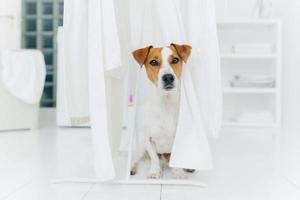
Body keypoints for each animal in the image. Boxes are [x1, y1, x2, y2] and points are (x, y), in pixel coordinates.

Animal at [130, 43, 193, 178]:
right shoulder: (148, 138)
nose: (168, 77)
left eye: (175, 60)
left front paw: (178, 173)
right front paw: (154, 172)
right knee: (136, 157)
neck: (166, 103)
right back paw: (132, 167)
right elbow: (154, 158)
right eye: (153, 62)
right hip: (141, 146)